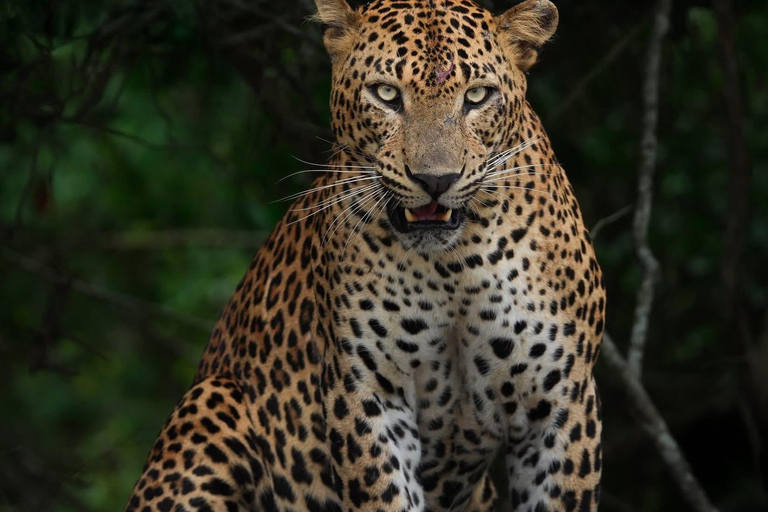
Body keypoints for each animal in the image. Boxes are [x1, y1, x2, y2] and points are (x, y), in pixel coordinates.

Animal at [124, 0, 606, 511]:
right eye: (386, 94)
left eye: (477, 96)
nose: (436, 179)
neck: (454, 265)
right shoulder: (368, 394)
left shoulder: (562, 402)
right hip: (211, 402)